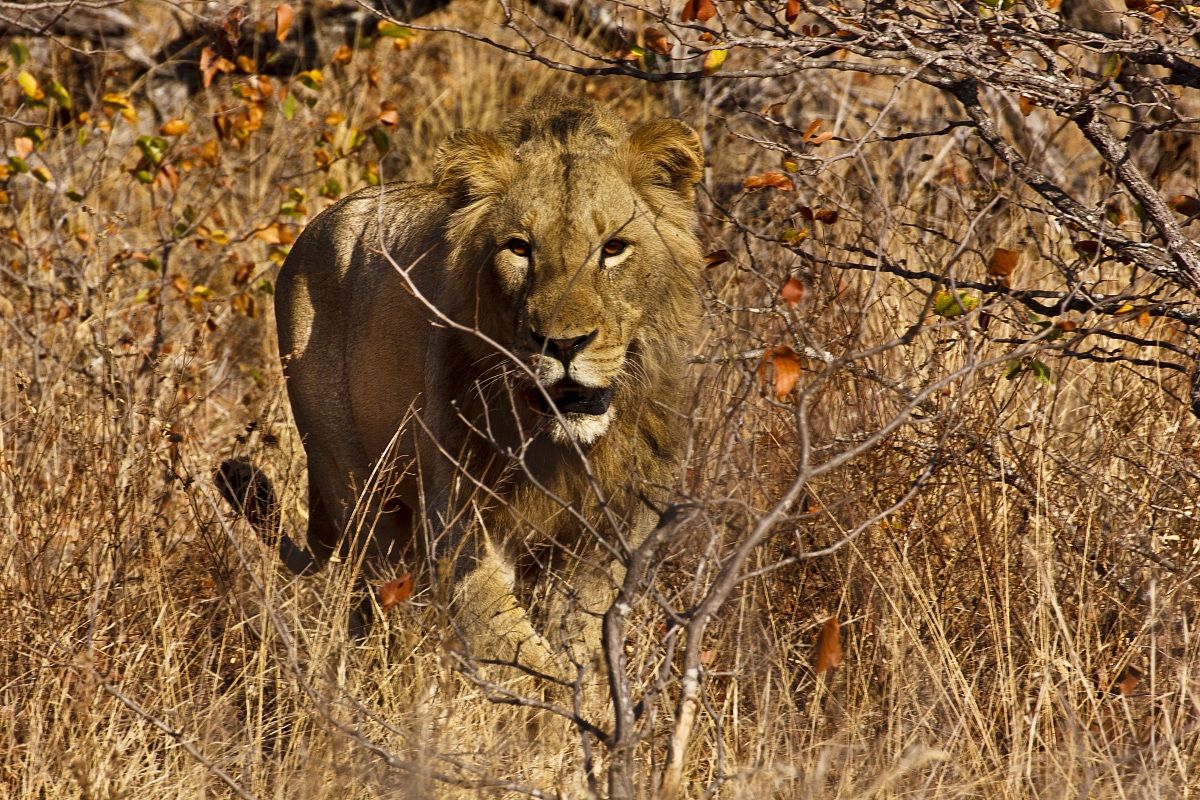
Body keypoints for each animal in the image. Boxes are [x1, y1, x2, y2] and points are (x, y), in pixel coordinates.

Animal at [218, 95, 704, 680]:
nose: (563, 345)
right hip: (359, 490)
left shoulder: (610, 541)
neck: (561, 449)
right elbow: (528, 663)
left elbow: (577, 651)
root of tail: (320, 221)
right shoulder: (461, 529)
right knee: (375, 598)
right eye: (518, 248)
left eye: (613, 248)